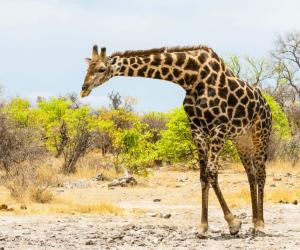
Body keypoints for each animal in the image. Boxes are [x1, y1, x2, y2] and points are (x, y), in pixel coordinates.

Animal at [80, 45, 272, 234]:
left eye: (101, 69)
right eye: (87, 68)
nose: (84, 89)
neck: (191, 78)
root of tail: (267, 105)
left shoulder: (219, 128)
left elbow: (211, 173)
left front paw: (233, 223)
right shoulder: (197, 129)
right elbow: (203, 176)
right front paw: (203, 226)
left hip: (260, 134)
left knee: (261, 173)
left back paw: (260, 224)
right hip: (242, 139)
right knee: (251, 174)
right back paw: (254, 222)